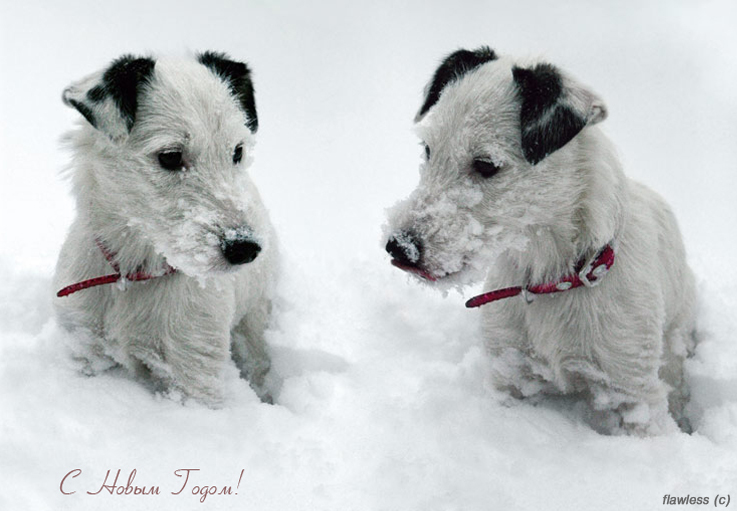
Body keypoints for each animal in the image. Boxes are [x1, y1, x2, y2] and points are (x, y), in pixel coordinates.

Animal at [52, 52, 276, 408]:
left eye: (237, 151)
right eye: (170, 156)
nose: (246, 248)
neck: (133, 272)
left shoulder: (192, 371)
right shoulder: (84, 344)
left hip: (253, 322)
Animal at [386, 47, 696, 436]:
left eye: (486, 164)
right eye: (428, 149)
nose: (399, 247)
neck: (552, 278)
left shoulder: (634, 393)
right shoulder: (511, 371)